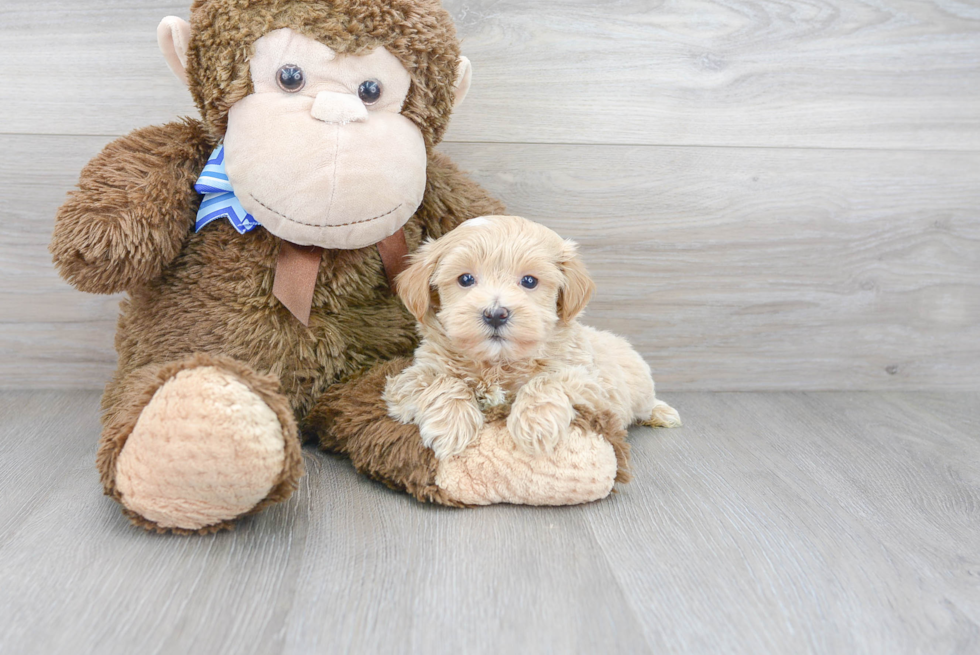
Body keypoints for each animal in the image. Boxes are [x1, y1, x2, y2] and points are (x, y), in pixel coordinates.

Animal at [384, 217, 680, 462]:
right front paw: (451, 425)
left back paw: (663, 413)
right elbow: (442, 380)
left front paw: (535, 425)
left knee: (646, 403)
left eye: (529, 281)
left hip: (638, 385)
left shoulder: (592, 384)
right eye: (465, 279)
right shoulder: (408, 379)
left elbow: (547, 380)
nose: (495, 314)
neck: (498, 362)